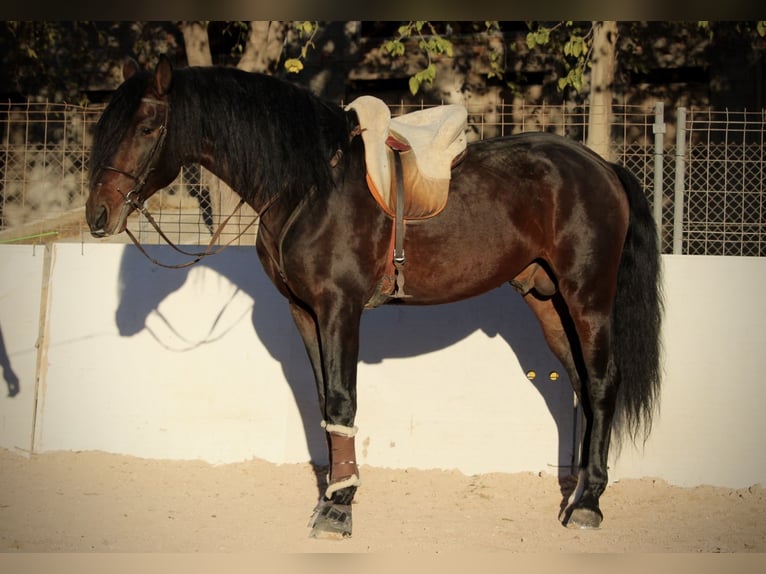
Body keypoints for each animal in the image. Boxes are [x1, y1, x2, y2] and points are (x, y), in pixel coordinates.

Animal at [82, 55, 660, 540]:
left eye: (148, 126)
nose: (98, 215)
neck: (311, 185)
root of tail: (602, 167)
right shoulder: (305, 313)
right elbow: (325, 406)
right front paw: (333, 496)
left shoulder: (340, 308)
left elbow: (343, 400)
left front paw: (339, 510)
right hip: (548, 301)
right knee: (582, 385)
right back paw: (578, 493)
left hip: (587, 298)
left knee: (602, 385)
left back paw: (589, 505)